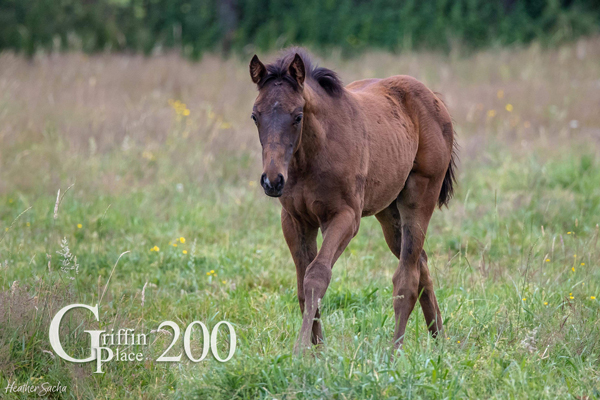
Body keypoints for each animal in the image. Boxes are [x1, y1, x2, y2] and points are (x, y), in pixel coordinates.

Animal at [251, 47, 458, 354]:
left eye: (298, 115)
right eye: (255, 116)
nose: (273, 181)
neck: (310, 156)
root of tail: (434, 98)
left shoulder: (345, 216)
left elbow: (316, 277)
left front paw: (301, 351)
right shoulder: (294, 220)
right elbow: (301, 286)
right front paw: (318, 352)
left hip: (419, 197)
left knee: (406, 277)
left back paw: (395, 352)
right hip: (389, 213)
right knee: (421, 263)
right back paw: (440, 341)